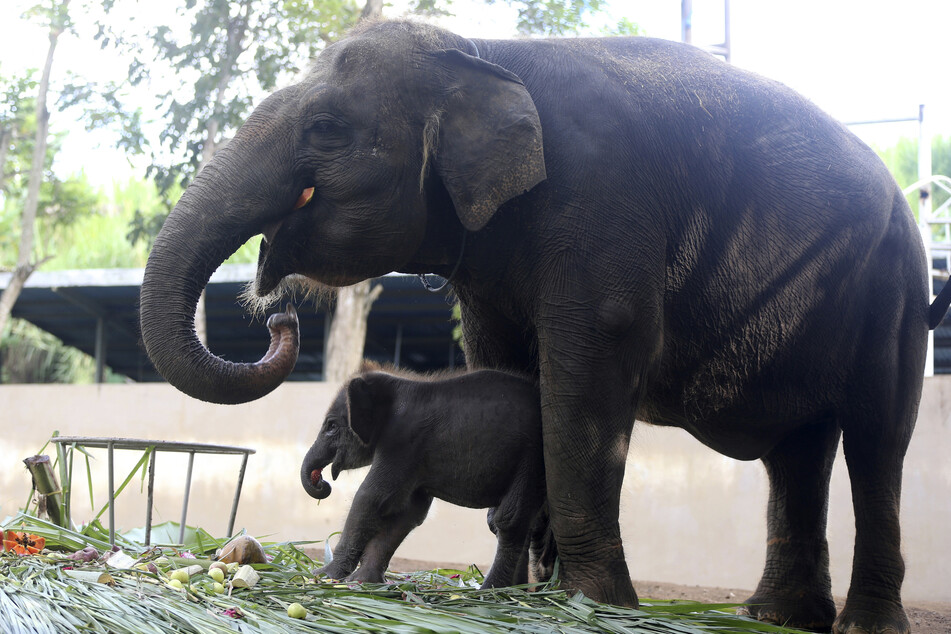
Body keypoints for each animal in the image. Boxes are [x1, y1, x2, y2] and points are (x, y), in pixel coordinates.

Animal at [300, 363, 546, 587]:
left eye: (331, 426)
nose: (322, 483)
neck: (399, 383)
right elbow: (410, 513)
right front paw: (363, 581)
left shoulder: (403, 441)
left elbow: (371, 498)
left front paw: (324, 575)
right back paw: (517, 589)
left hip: (532, 457)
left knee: (509, 519)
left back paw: (491, 591)